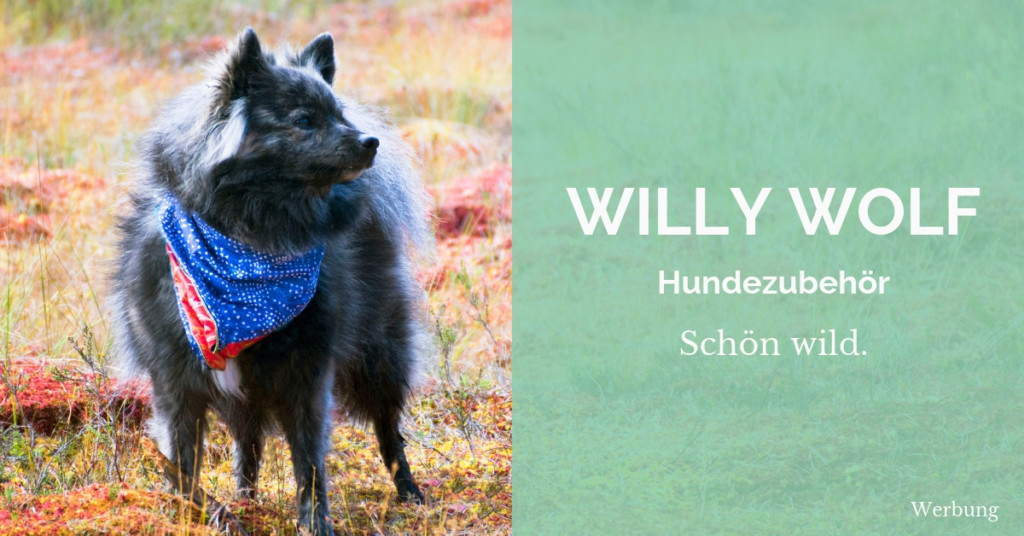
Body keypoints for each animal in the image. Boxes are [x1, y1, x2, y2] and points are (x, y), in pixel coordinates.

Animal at [109, 28, 431, 535]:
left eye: (339, 114)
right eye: (303, 120)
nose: (370, 141)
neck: (252, 242)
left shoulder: (306, 375)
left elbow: (309, 462)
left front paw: (314, 523)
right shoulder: (175, 382)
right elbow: (183, 468)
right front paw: (208, 517)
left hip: (378, 358)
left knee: (389, 433)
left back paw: (411, 496)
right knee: (249, 448)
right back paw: (246, 501)